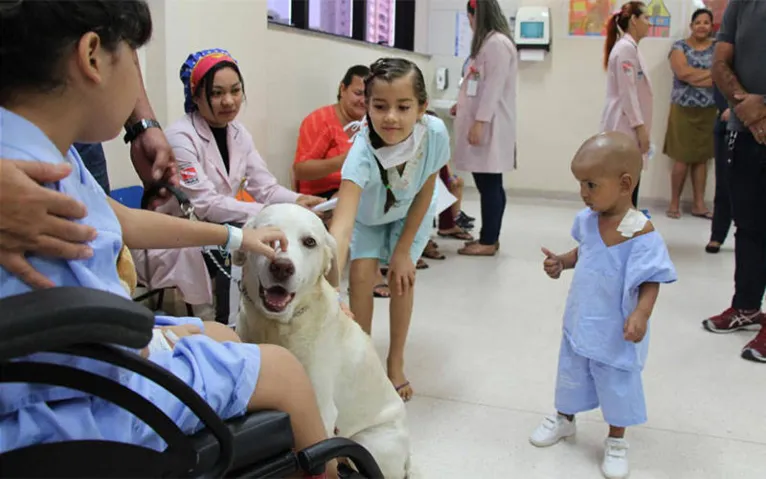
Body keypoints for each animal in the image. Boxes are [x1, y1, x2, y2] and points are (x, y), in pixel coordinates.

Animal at [234, 203, 414, 479]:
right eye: (268, 236)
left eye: (309, 242)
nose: (282, 267)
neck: (278, 326)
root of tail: (407, 457)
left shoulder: (319, 412)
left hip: (368, 442)